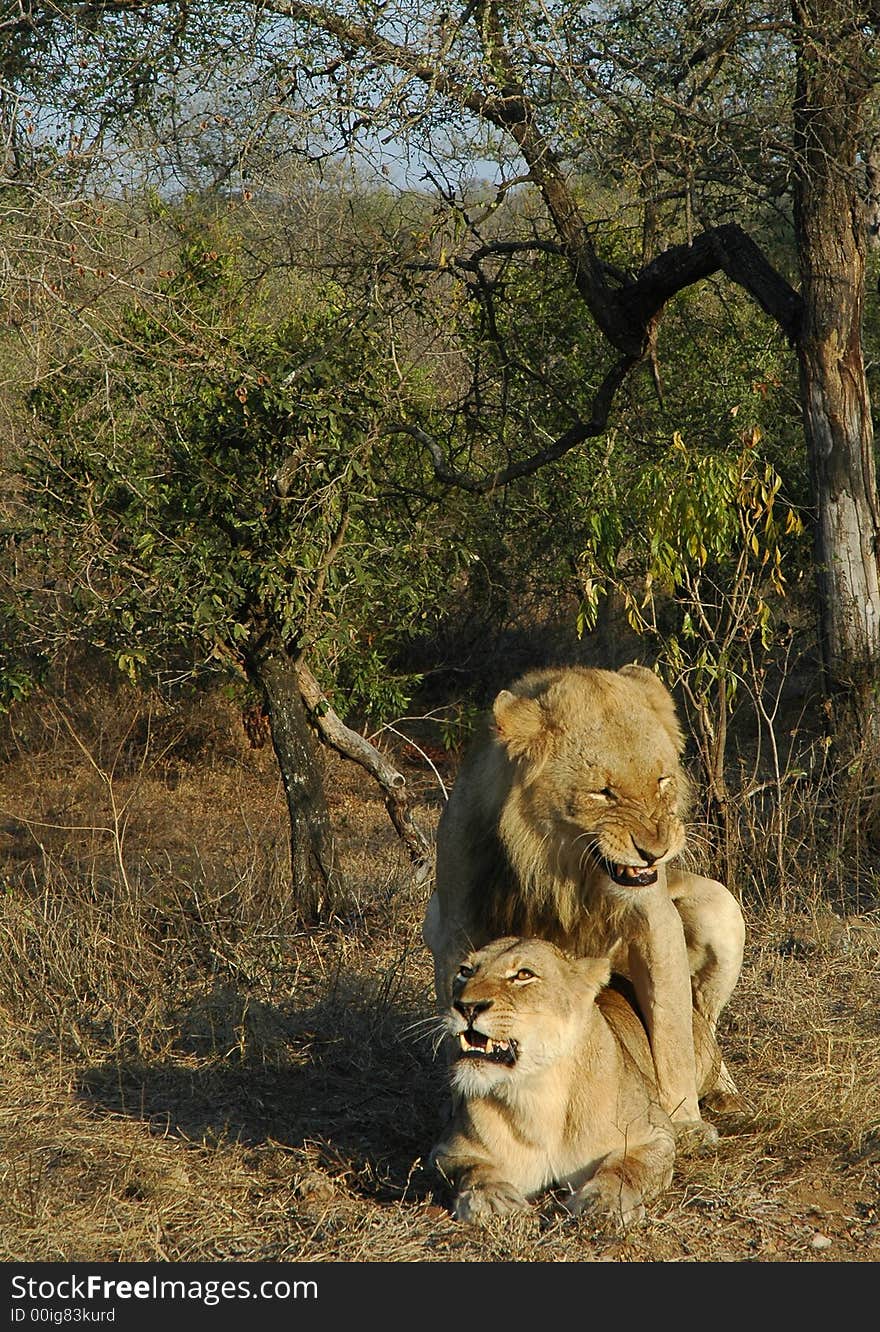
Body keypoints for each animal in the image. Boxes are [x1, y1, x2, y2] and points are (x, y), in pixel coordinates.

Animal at [423, 660, 745, 1140]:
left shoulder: (656, 920)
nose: (656, 850)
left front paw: (685, 1120)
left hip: (720, 908)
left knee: (703, 1021)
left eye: (662, 781)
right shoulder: (456, 928)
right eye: (603, 792)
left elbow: (672, 1033)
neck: (562, 870)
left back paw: (725, 1091)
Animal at [426, 932, 718, 1220]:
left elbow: (625, 1166)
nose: (466, 1007)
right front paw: (492, 1199)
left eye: (523, 975)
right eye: (465, 971)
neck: (539, 1090)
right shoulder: (449, 1149)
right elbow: (474, 1170)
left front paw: (603, 1201)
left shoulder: (654, 1135)